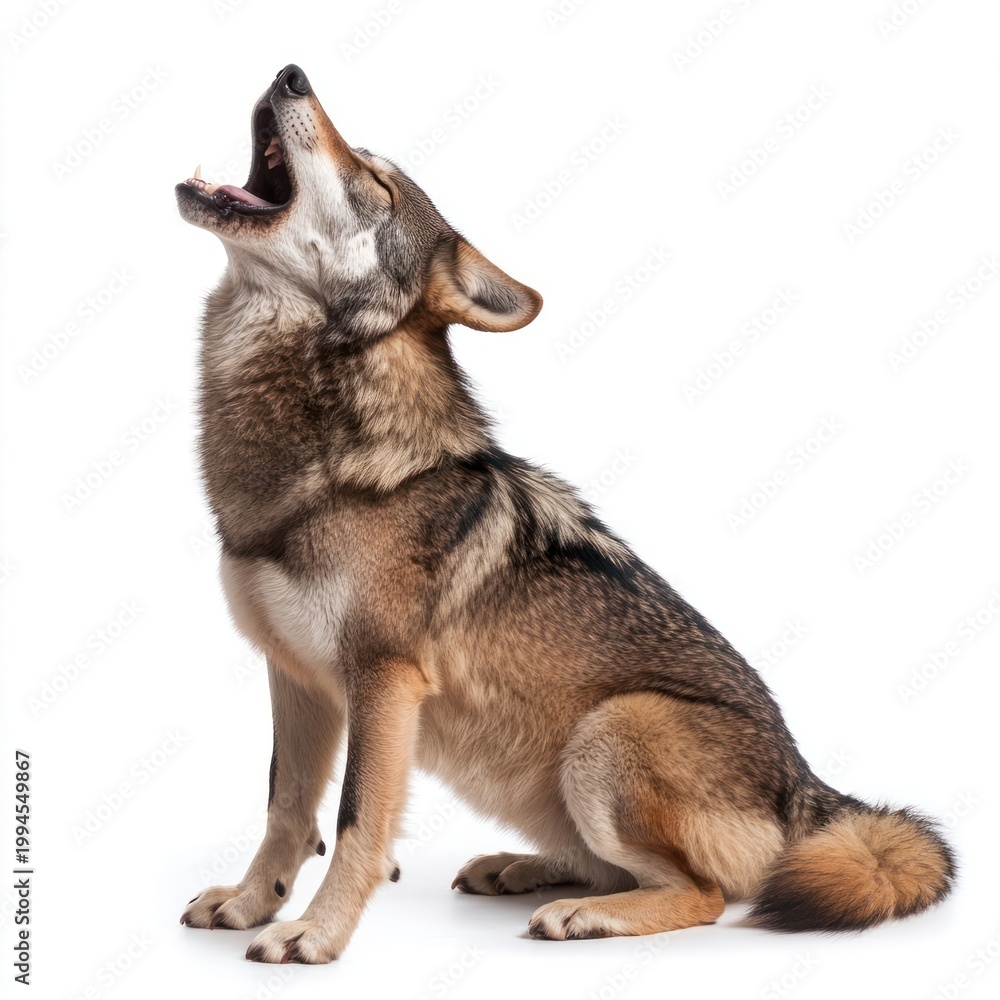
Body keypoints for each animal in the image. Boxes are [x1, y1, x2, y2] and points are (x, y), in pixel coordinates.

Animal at [176, 65, 955, 964]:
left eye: (373, 180)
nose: (290, 73)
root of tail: (810, 791)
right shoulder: (298, 677)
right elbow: (286, 807)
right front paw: (250, 903)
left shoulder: (382, 678)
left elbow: (356, 818)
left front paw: (316, 933)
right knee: (621, 868)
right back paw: (521, 870)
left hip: (607, 732)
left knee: (705, 894)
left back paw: (580, 914)